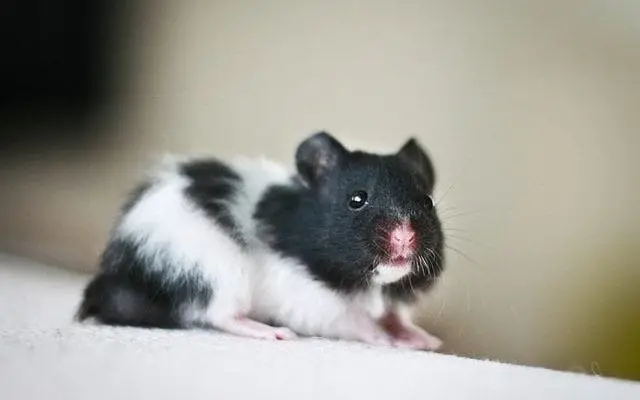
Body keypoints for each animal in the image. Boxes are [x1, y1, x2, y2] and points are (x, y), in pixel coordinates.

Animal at [76, 132, 445, 350]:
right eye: (357, 199)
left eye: (428, 201)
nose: (405, 237)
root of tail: (122, 271)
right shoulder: (308, 299)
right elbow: (355, 321)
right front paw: (388, 340)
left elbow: (393, 315)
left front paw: (427, 341)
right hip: (215, 271)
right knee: (217, 313)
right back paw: (274, 333)